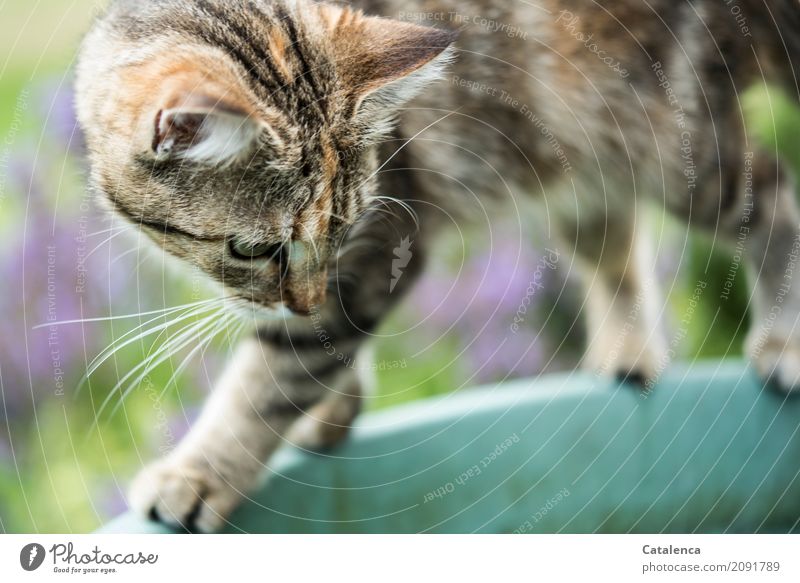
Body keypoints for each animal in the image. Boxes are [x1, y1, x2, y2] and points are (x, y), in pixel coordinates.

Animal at [78, 0, 800, 532]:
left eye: (341, 229)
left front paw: (199, 473)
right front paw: (334, 412)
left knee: (769, 192)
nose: (304, 298)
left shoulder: (386, 239)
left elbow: (275, 375)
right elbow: (320, 352)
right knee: (613, 236)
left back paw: (782, 341)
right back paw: (628, 353)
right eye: (253, 249)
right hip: (581, 150)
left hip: (670, 143)